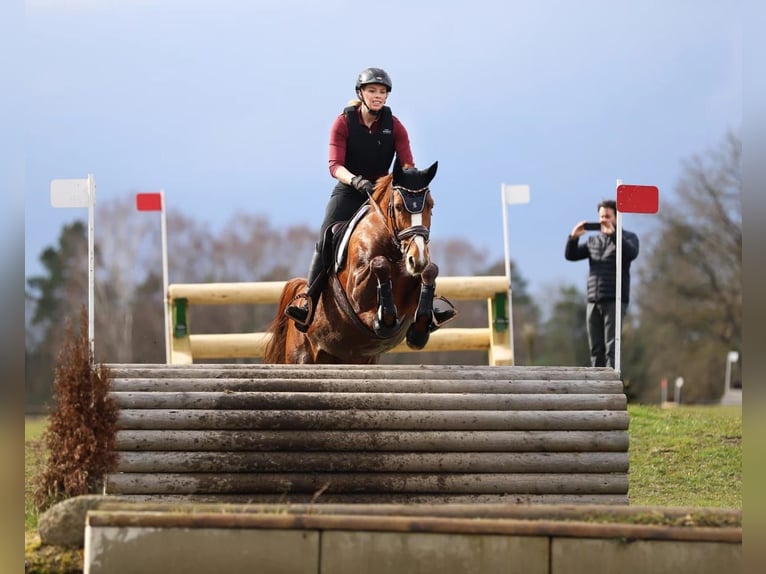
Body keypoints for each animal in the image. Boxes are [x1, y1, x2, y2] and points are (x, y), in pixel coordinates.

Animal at [264, 160, 454, 364]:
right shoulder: (356, 296)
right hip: (301, 356)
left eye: (431, 206)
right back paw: (302, 310)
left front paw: (419, 332)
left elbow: (430, 271)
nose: (417, 260)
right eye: (398, 207)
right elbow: (379, 265)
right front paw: (383, 318)